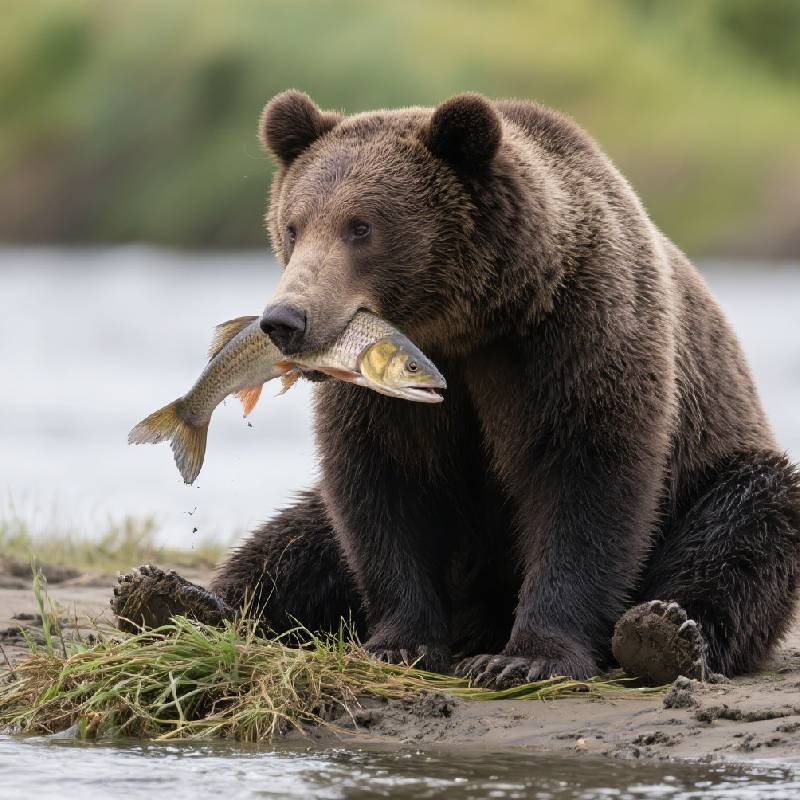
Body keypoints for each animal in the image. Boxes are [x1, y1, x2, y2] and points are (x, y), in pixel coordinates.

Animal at [112, 90, 800, 687]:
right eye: (293, 225)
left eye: (360, 227)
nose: (285, 320)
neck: (469, 325)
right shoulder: (384, 400)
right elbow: (381, 490)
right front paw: (403, 641)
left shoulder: (577, 337)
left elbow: (587, 478)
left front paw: (527, 657)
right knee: (299, 536)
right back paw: (170, 596)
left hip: (719, 467)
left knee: (748, 525)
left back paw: (666, 633)